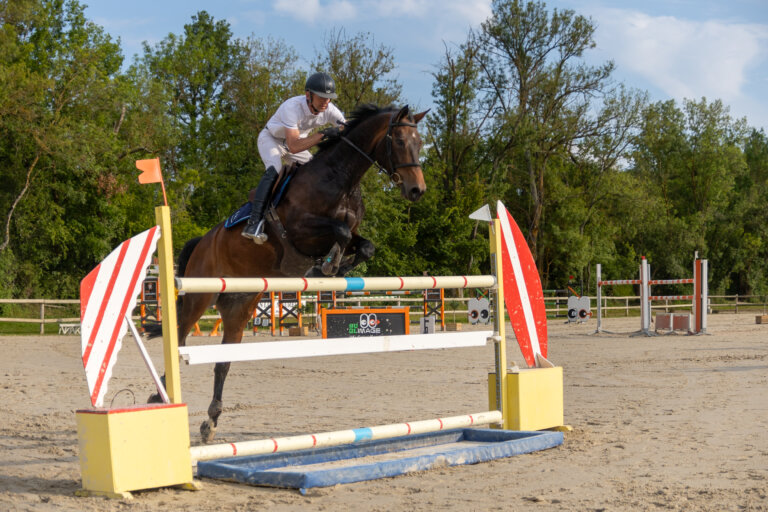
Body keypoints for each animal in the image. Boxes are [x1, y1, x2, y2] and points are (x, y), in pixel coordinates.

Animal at [162, 104, 427, 443]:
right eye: (400, 141)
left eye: (419, 142)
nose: (417, 190)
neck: (340, 180)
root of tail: (203, 241)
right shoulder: (301, 230)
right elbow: (340, 232)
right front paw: (325, 265)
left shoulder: (352, 232)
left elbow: (364, 245)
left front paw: (335, 267)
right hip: (199, 298)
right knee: (180, 337)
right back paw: (160, 399)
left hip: (239, 306)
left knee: (223, 363)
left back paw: (210, 422)